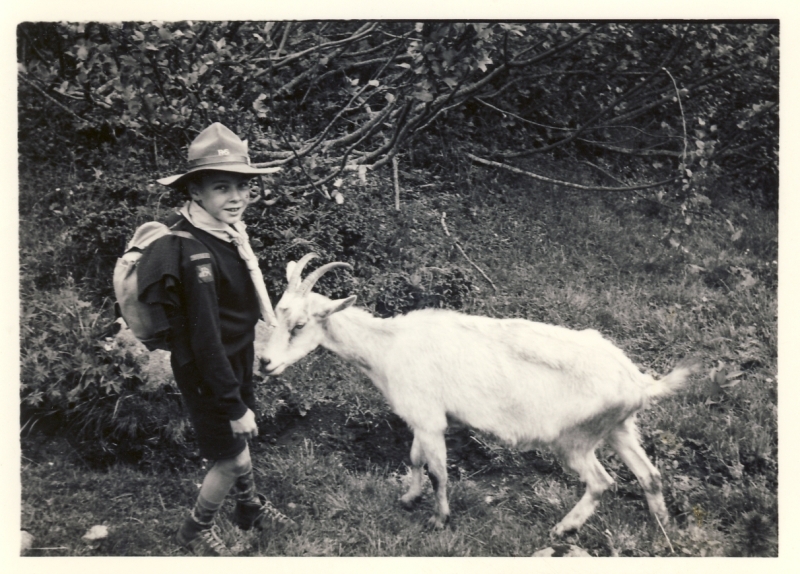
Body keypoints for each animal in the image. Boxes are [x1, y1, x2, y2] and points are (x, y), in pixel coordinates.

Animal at [260, 253, 695, 534]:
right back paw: (662, 528)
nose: (265, 362)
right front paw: (407, 499)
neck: (388, 345)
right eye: (278, 312)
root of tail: (637, 381)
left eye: (300, 324)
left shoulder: (429, 420)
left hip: (577, 439)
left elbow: (437, 471)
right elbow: (414, 458)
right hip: (621, 428)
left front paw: (439, 519)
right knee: (650, 475)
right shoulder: (422, 418)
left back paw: (562, 530)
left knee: (603, 481)